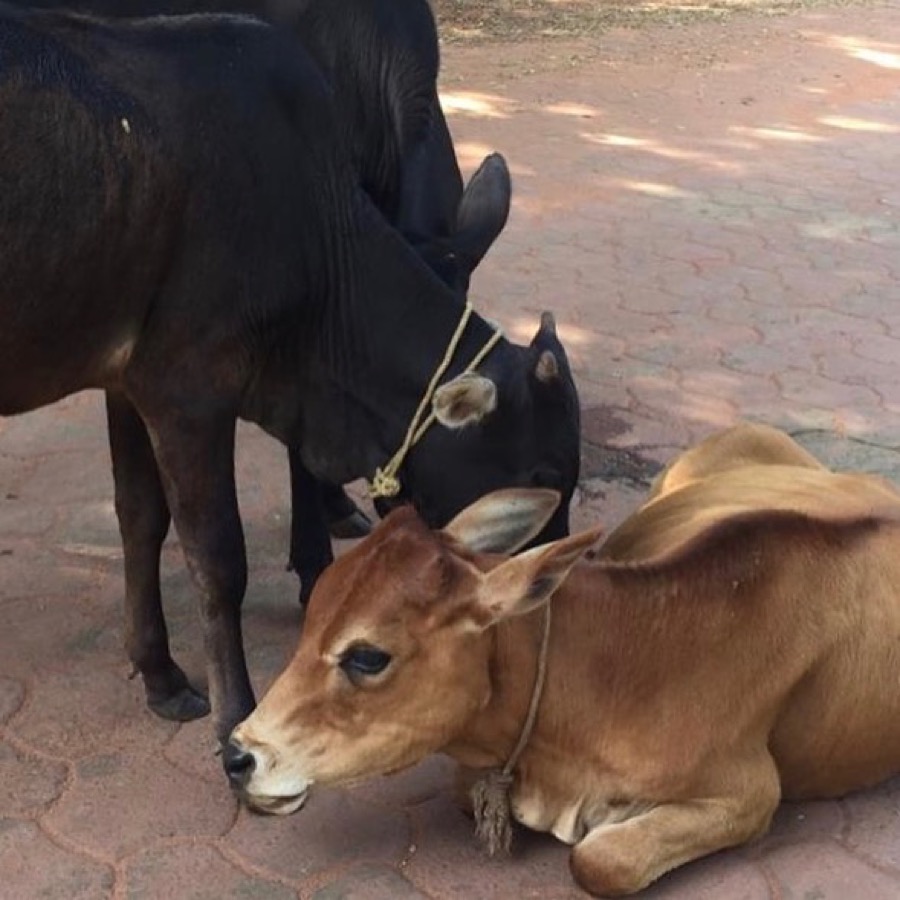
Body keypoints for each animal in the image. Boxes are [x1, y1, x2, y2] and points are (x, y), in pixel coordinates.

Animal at [0, 5, 579, 742]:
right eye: (543, 475)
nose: (549, 618)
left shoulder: (129, 380)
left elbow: (141, 518)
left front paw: (159, 672)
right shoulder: (189, 389)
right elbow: (218, 557)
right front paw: (234, 717)